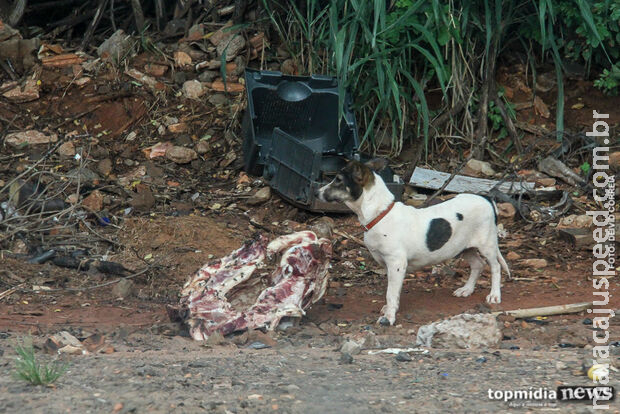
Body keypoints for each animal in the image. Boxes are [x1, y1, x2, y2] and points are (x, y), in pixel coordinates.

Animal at [318, 158, 512, 326]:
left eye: (338, 180)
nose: (316, 193)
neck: (380, 214)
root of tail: (487, 199)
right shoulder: (388, 265)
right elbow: (392, 293)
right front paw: (390, 309)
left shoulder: (396, 264)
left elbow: (390, 293)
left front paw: (389, 317)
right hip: (463, 247)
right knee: (478, 264)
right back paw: (467, 290)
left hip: (487, 245)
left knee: (495, 267)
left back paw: (494, 295)